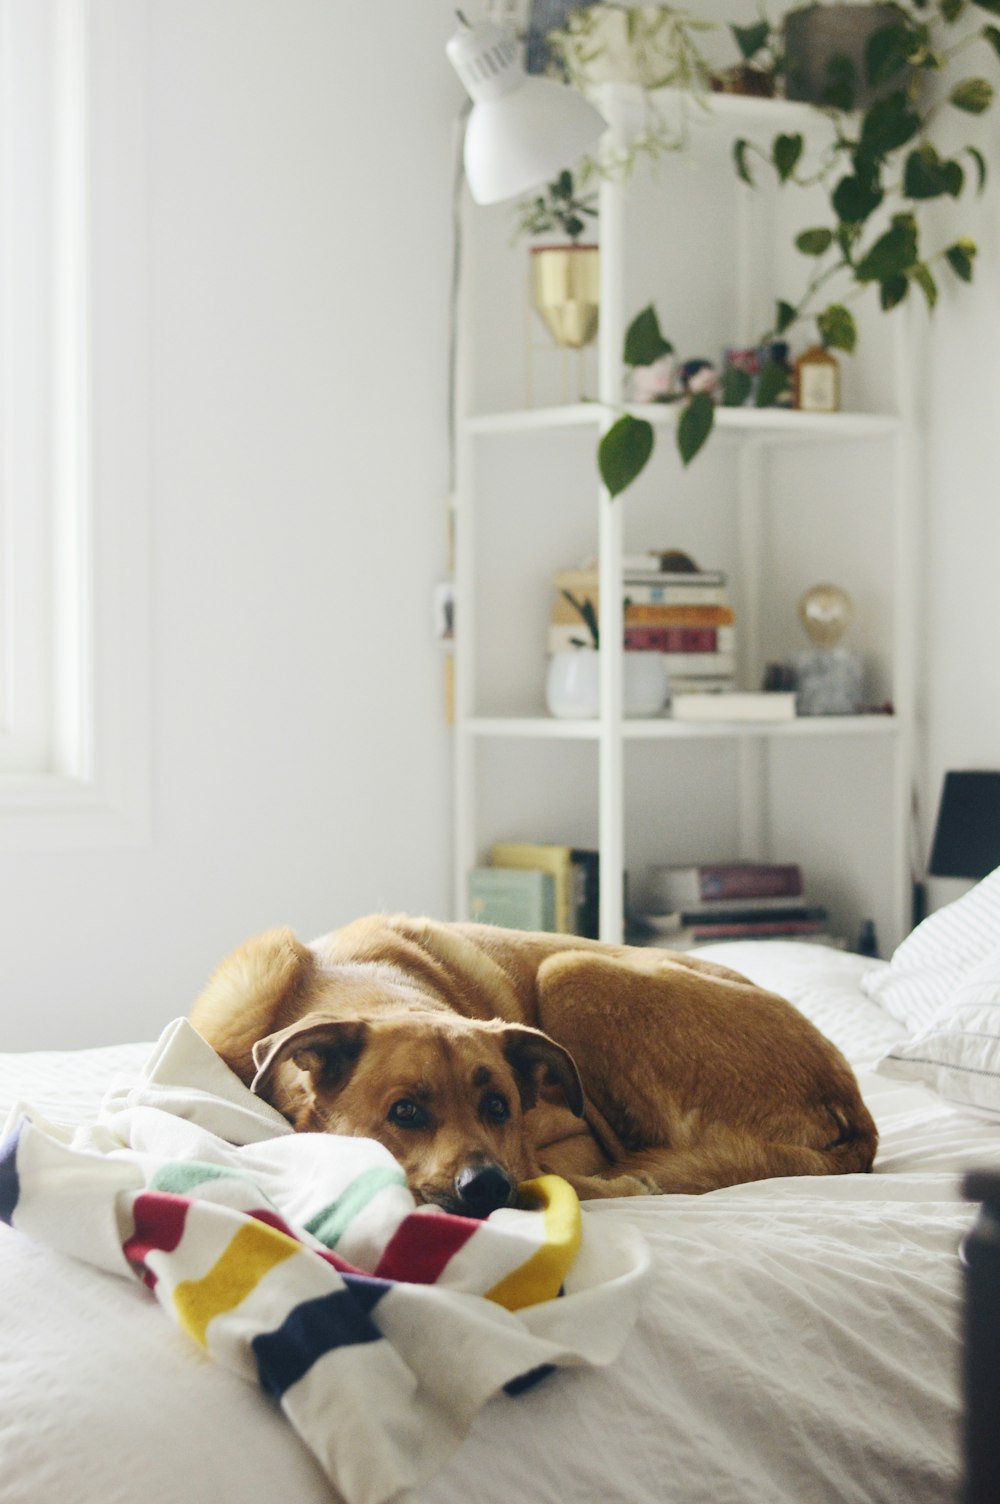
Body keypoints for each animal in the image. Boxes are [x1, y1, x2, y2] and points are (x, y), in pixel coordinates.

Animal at [190, 908, 878, 1215]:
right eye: (405, 1112)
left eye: (501, 1107)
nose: (488, 1186)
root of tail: (856, 1112)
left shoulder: (573, 1137)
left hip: (571, 970)